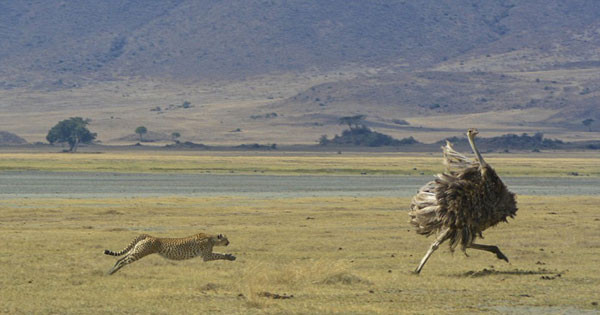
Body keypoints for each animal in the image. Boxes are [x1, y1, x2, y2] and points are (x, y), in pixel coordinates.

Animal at [103, 233, 234, 276]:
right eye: (226, 239)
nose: (229, 242)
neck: (212, 238)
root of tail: (148, 235)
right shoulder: (206, 256)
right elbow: (219, 255)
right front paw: (230, 256)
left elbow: (218, 254)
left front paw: (230, 255)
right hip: (140, 253)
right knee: (123, 261)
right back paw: (111, 272)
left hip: (136, 250)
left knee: (120, 258)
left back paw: (111, 270)